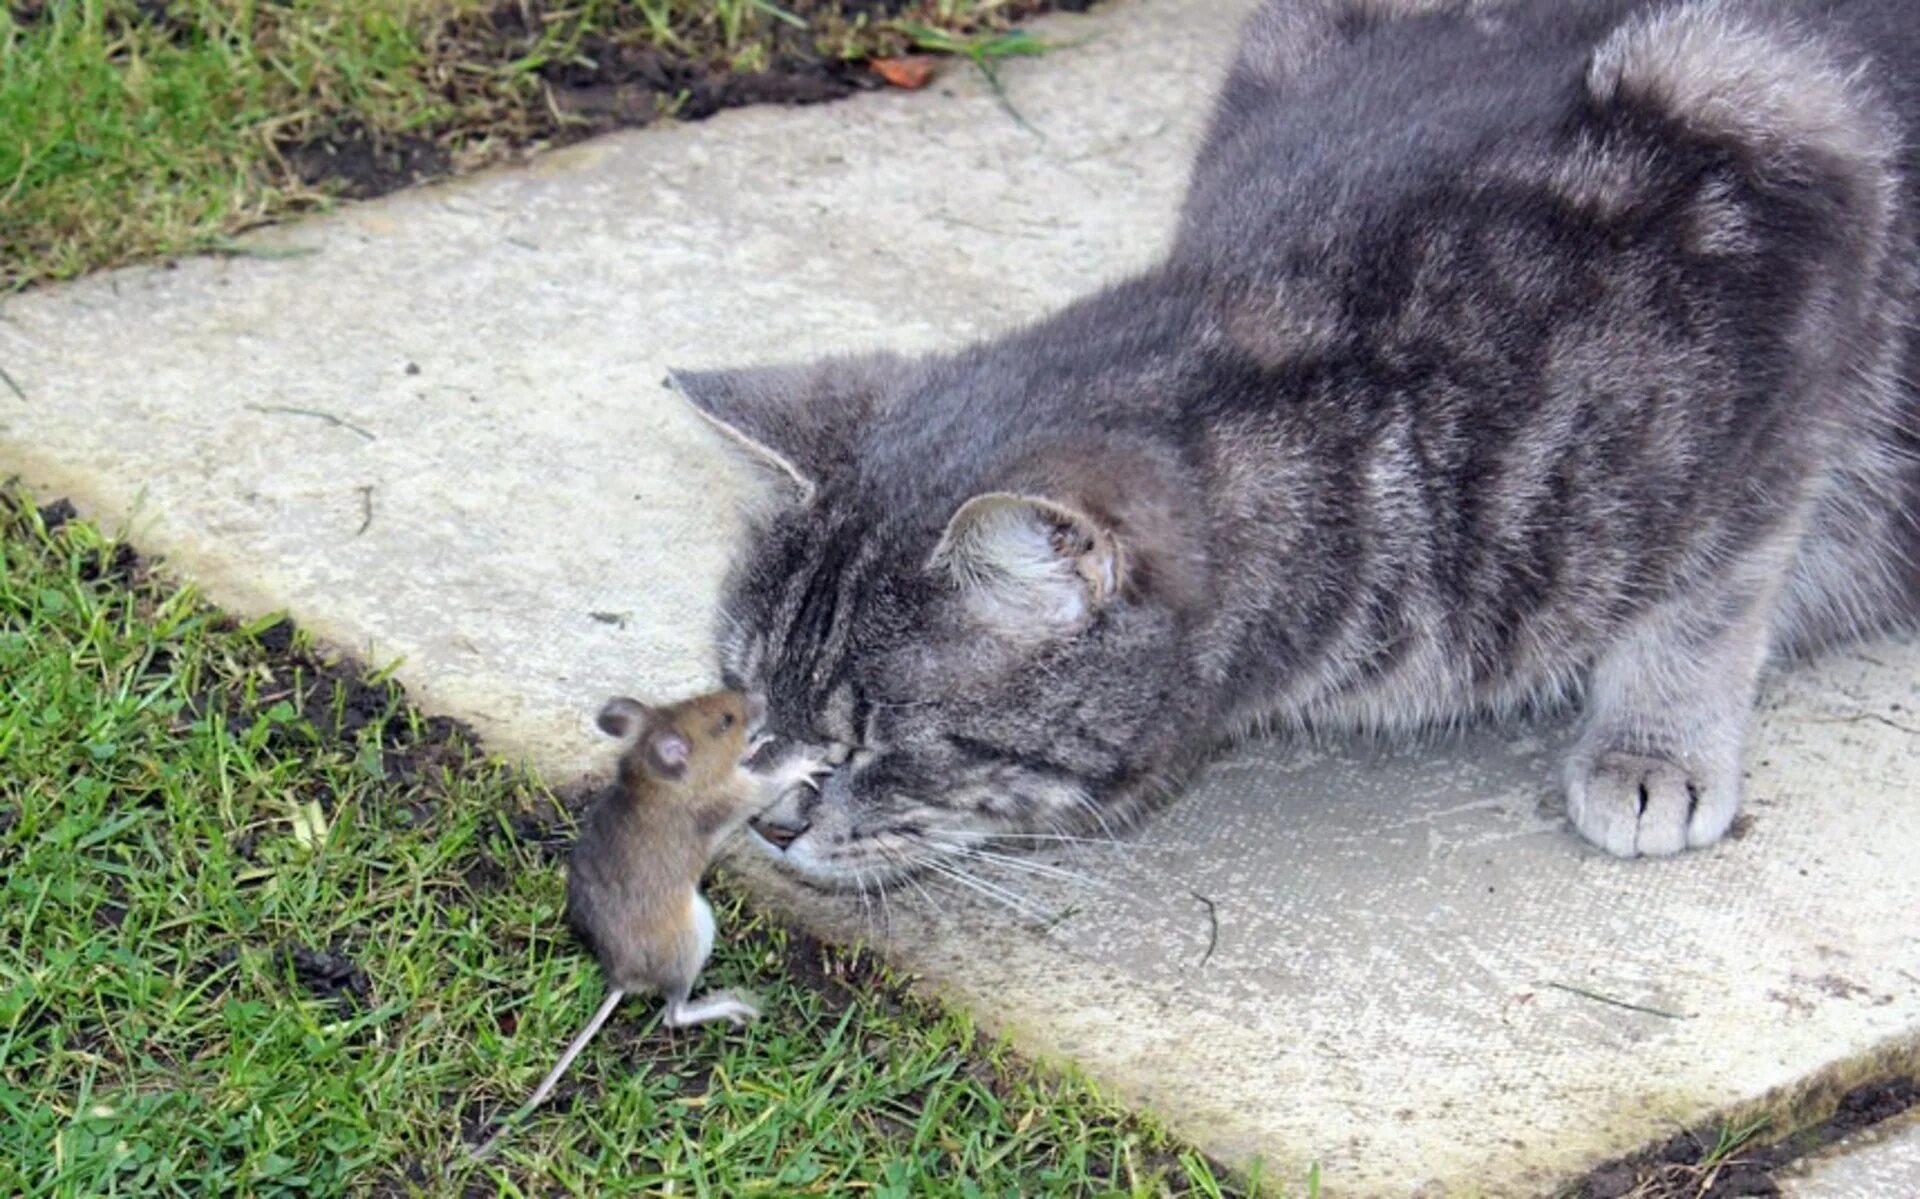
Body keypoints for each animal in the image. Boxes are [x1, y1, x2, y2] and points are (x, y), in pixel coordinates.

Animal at [668, 0, 1912, 883]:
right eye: (744, 693)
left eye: (883, 740)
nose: (767, 822)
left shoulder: (1798, 193)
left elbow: (1716, 584)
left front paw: (1654, 745)